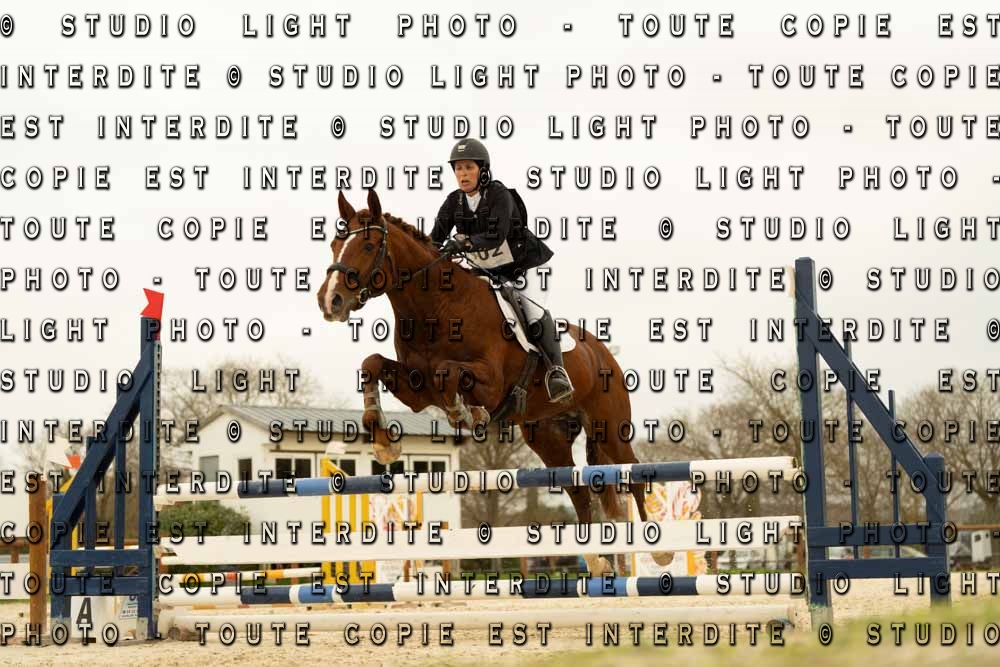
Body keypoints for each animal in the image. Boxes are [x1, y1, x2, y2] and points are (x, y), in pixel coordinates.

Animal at [317, 189, 671, 574]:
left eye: (367, 245)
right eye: (335, 244)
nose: (329, 300)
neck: (436, 306)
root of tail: (603, 353)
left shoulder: (491, 381)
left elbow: (448, 371)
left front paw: (466, 413)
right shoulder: (418, 390)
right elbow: (372, 363)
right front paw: (384, 442)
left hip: (610, 425)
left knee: (633, 471)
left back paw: (659, 551)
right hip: (547, 436)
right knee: (577, 489)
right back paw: (595, 560)